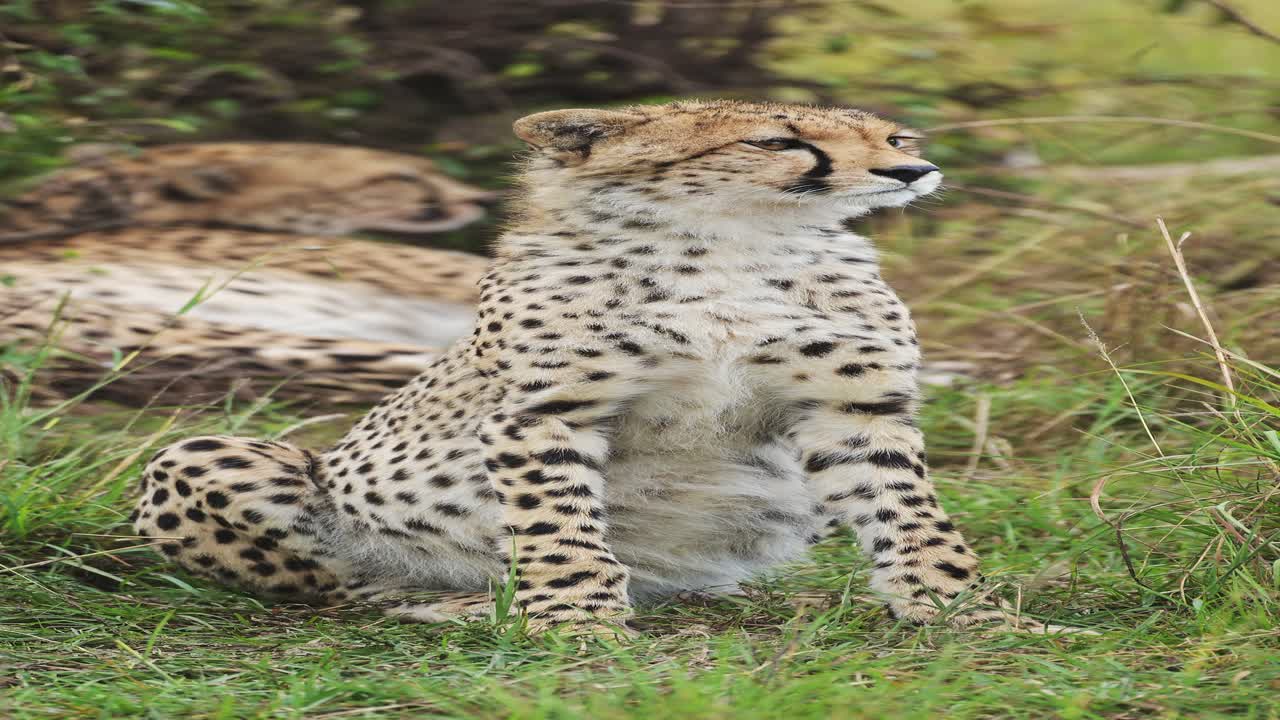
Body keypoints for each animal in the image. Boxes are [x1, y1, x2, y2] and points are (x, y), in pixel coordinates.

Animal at [131, 100, 1057, 635]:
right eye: (778, 142)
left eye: (895, 137)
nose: (913, 169)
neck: (737, 240)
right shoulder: (547, 412)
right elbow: (559, 529)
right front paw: (578, 623)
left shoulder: (855, 409)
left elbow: (916, 523)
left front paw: (962, 612)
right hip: (206, 456)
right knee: (344, 582)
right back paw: (466, 601)